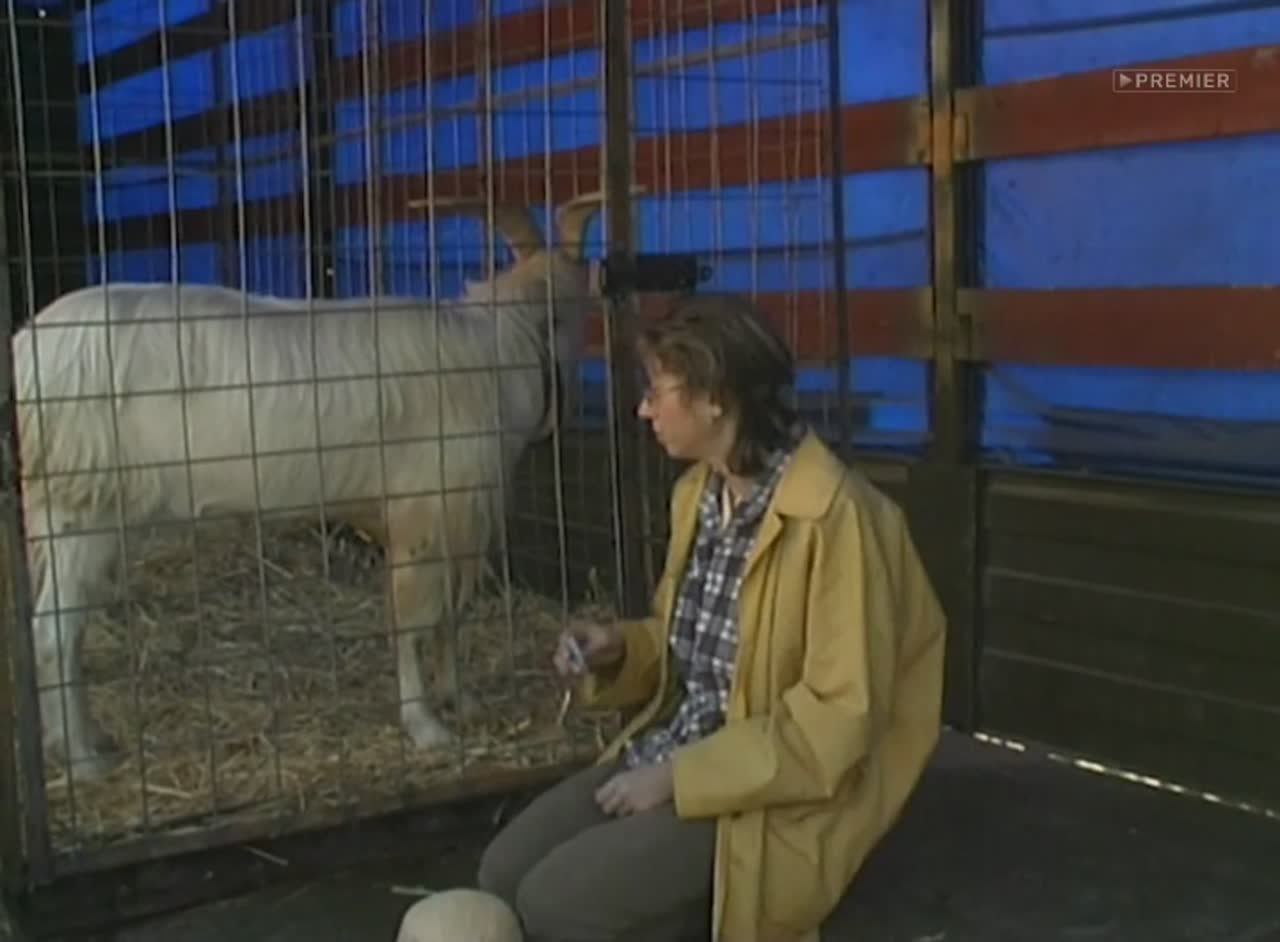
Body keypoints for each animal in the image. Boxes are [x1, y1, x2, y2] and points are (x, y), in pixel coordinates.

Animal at [12, 191, 610, 780]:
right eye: (571, 313)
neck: (501, 347)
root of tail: (23, 353)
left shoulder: (448, 519)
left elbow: (448, 618)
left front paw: (461, 701)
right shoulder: (426, 510)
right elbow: (413, 621)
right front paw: (426, 727)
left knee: (69, 629)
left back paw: (87, 740)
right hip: (80, 504)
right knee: (52, 633)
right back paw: (84, 761)